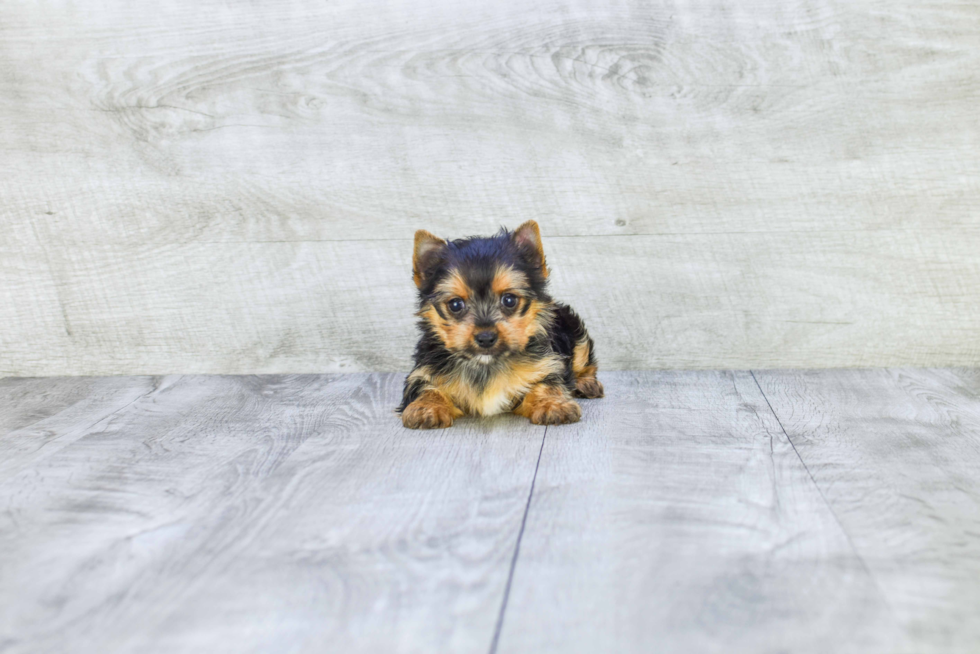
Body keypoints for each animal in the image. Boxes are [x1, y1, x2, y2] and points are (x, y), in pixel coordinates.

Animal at [396, 220, 596, 430]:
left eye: (509, 300)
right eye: (455, 304)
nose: (485, 338)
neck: (486, 364)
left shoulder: (546, 365)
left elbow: (546, 383)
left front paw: (553, 405)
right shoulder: (425, 371)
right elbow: (426, 387)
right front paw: (425, 408)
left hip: (575, 332)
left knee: (585, 361)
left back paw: (587, 384)